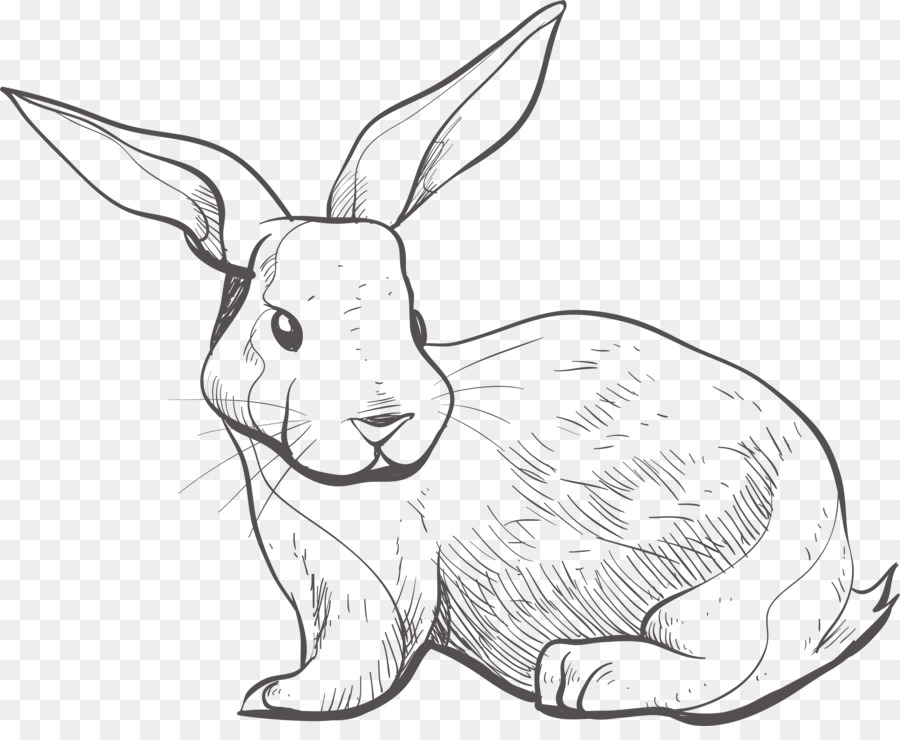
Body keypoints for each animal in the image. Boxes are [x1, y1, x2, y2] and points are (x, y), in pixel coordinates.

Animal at [6, 1, 897, 724]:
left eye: (415, 319)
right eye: (285, 328)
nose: (384, 421)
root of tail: (837, 552)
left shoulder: (377, 586)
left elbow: (363, 660)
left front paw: (278, 698)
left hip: (716, 594)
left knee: (727, 662)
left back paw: (580, 675)